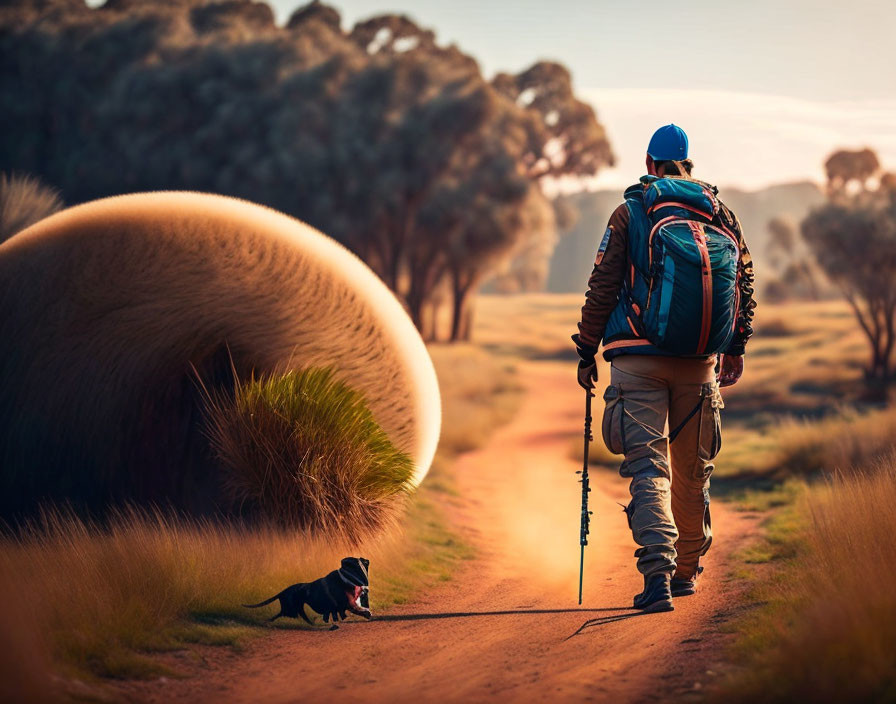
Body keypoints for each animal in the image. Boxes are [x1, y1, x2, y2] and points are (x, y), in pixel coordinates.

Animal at [242, 560, 372, 624]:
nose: (366, 588)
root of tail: (282, 592)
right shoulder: (347, 603)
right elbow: (358, 609)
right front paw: (367, 613)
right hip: (291, 609)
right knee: (281, 614)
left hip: (296, 608)